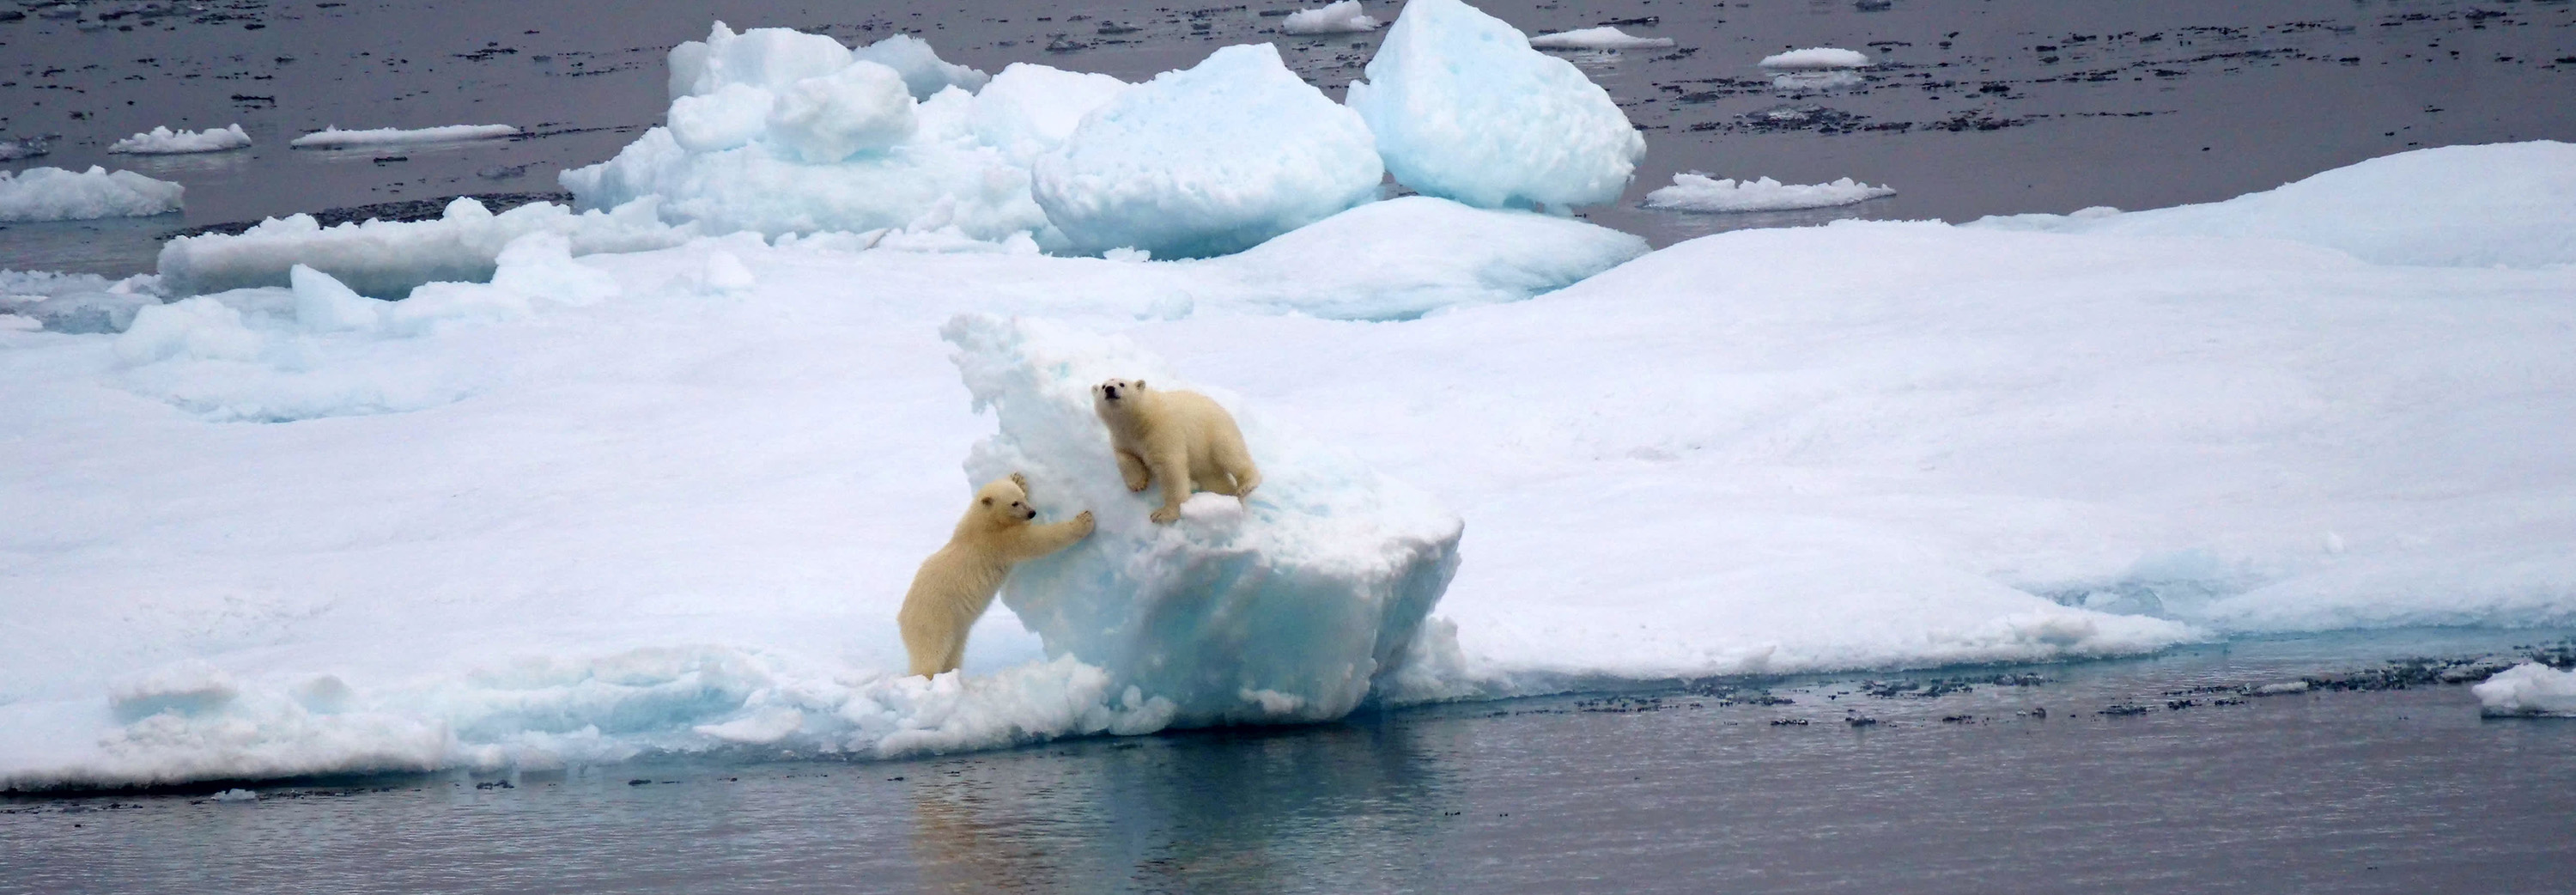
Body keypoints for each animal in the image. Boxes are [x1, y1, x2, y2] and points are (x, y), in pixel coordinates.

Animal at [897, 472, 1094, 678]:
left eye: (1021, 496)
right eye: (1014, 503)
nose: (1032, 512)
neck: (981, 524)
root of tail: (901, 619)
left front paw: (1018, 478)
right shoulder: (999, 541)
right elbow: (1036, 540)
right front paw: (1083, 521)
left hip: (957, 627)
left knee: (954, 652)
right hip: (934, 619)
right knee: (930, 654)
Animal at [1092, 378, 1261, 524]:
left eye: (1122, 383)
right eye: (1103, 386)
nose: (1110, 389)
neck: (1139, 420)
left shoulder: (1162, 431)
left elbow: (1169, 468)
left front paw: (1162, 514)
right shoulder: (1123, 437)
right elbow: (1125, 456)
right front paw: (1138, 484)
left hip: (1215, 432)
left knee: (1230, 453)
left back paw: (1246, 486)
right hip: (1205, 464)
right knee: (1217, 481)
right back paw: (1228, 496)